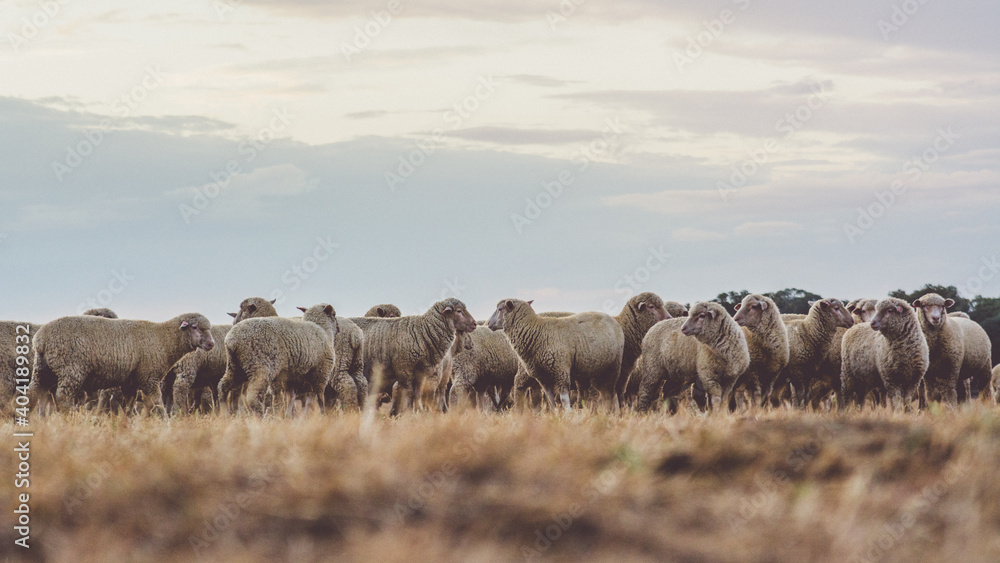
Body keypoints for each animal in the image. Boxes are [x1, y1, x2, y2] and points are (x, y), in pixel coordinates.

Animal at [30, 313, 216, 413]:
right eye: (195, 327)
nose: (211, 344)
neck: (165, 339)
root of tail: (41, 338)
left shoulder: (130, 381)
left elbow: (130, 405)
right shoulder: (149, 378)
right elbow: (157, 403)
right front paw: (164, 422)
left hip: (42, 368)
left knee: (33, 392)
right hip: (71, 369)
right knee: (62, 397)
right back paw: (68, 417)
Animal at [488, 299, 624, 411]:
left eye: (500, 309)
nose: (488, 324)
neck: (537, 331)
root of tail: (613, 320)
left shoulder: (561, 371)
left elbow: (564, 400)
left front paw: (568, 415)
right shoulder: (543, 377)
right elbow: (552, 401)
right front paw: (556, 415)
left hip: (613, 368)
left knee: (609, 395)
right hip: (591, 371)